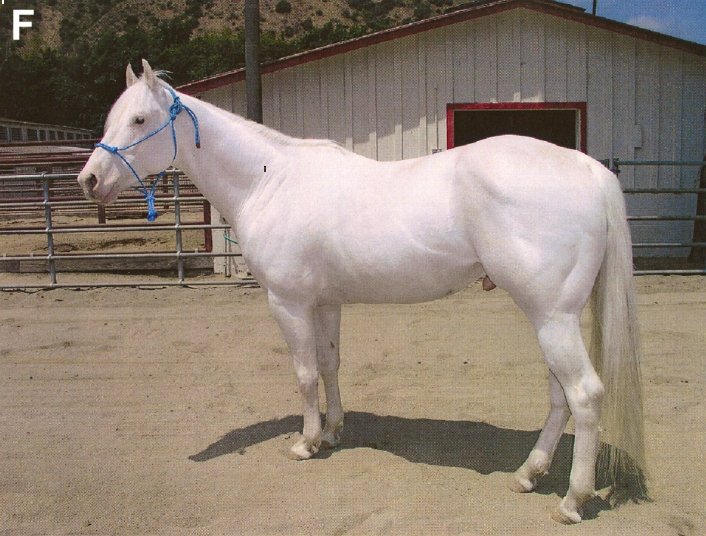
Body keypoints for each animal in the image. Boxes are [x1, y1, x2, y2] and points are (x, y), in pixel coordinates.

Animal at [78, 60, 647, 524]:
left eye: (139, 120)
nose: (89, 180)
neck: (269, 180)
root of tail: (588, 169)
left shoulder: (288, 304)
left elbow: (305, 373)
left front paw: (306, 443)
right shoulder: (325, 303)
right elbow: (330, 364)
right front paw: (333, 432)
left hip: (551, 316)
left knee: (584, 395)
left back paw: (571, 501)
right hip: (553, 316)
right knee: (559, 397)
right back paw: (529, 474)